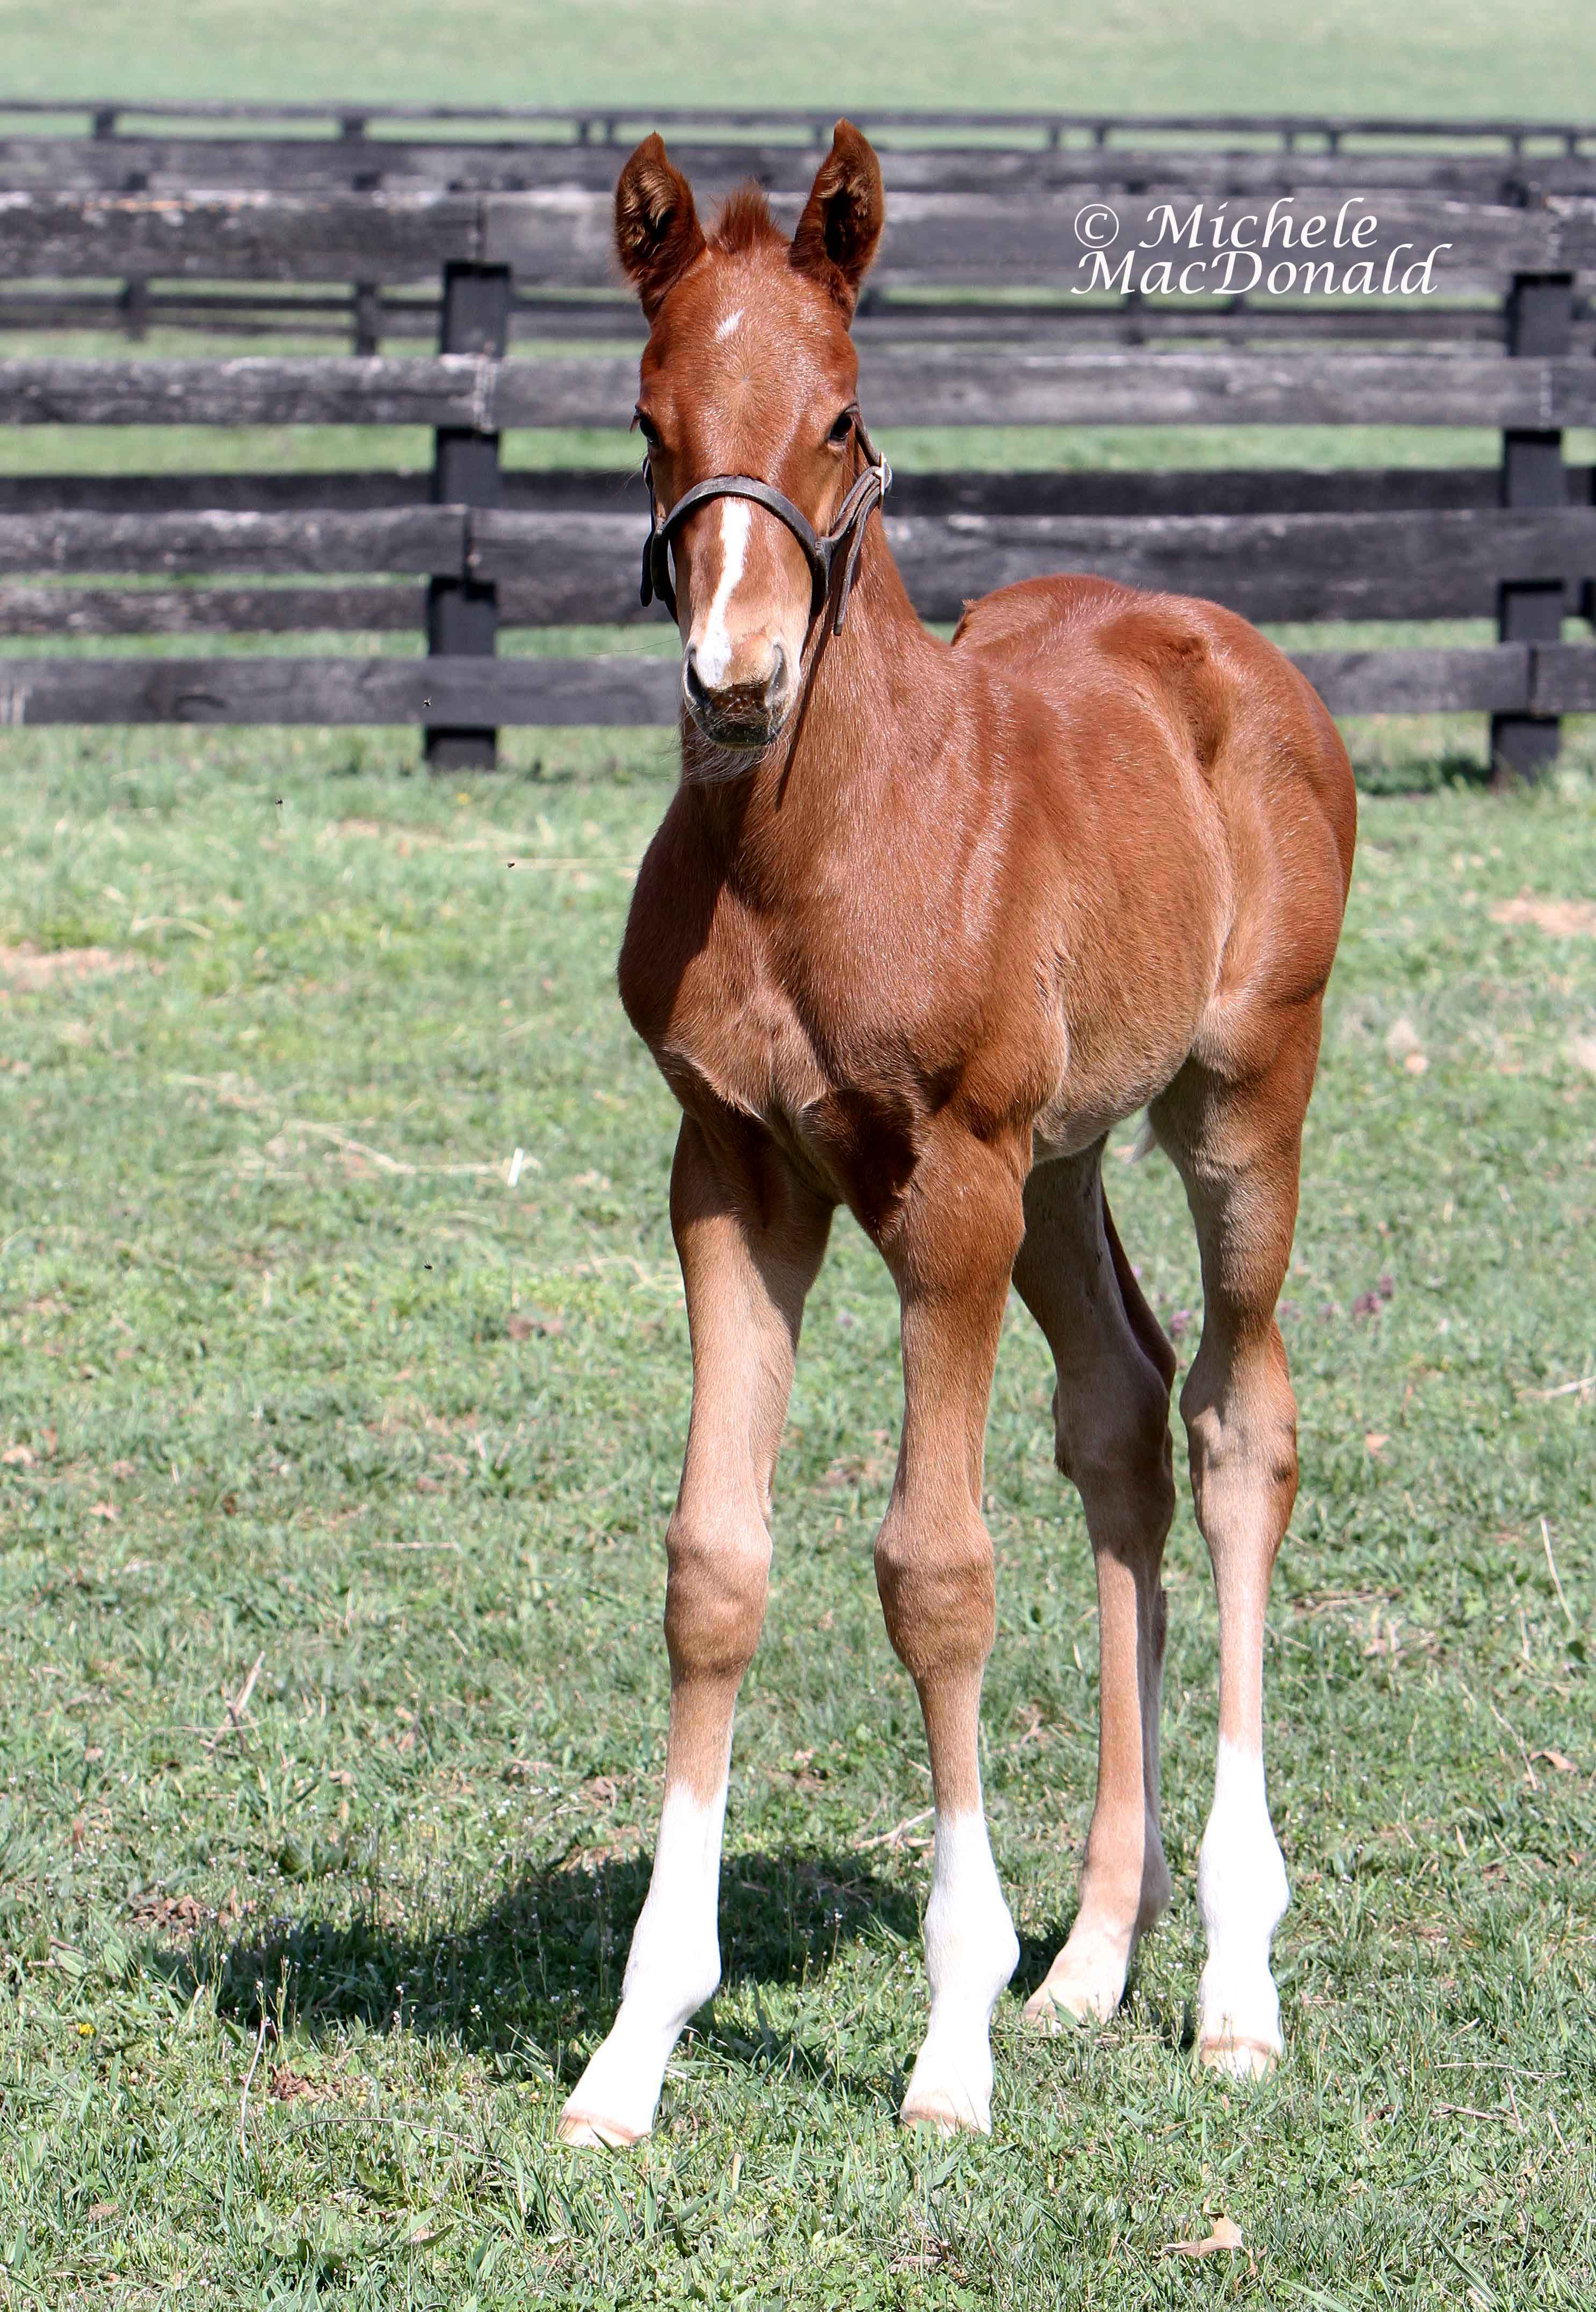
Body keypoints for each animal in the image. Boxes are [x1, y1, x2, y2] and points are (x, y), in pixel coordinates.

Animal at [553, 126, 1351, 2146]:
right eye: (648, 416)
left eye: (840, 412)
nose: (736, 678)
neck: (815, 840)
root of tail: (1235, 647)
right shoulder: (732, 1175)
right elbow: (713, 1564)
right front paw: (632, 2051)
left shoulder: (951, 1183)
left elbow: (935, 1570)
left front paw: (947, 2041)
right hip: (1063, 1159)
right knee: (1121, 1414)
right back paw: (1091, 1960)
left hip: (1238, 1099)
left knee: (1237, 1421)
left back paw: (1231, 1981)